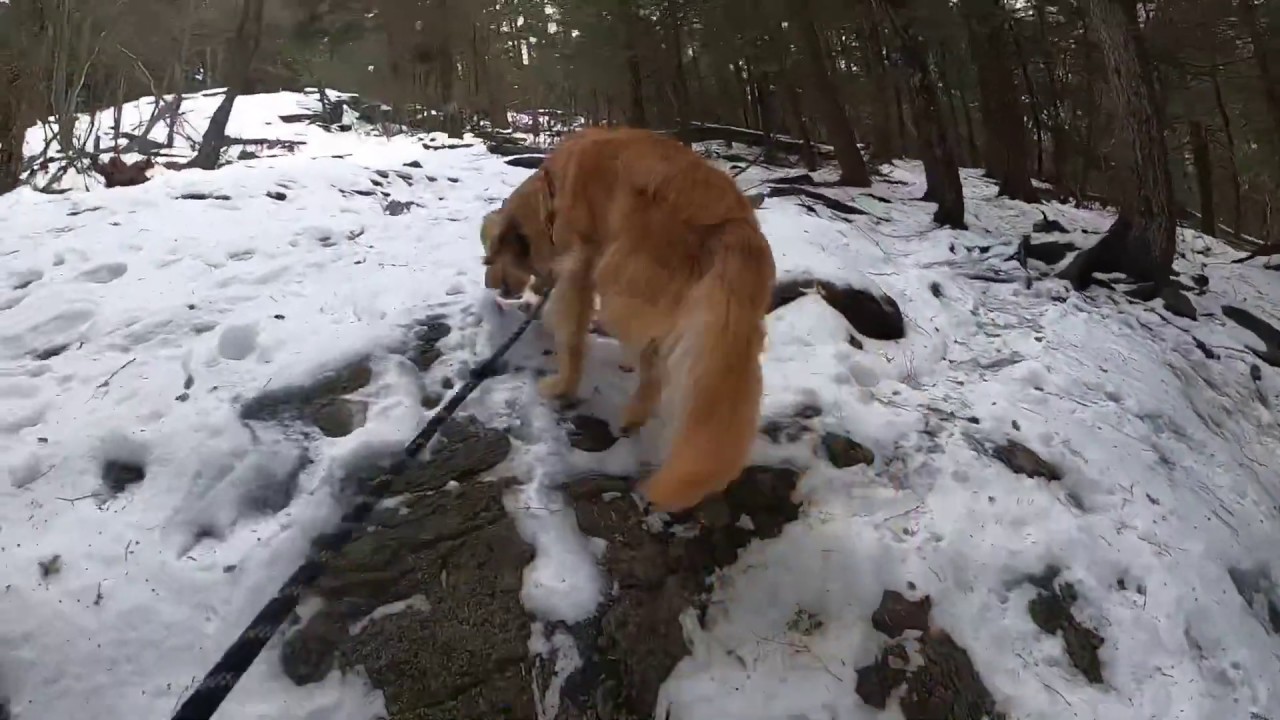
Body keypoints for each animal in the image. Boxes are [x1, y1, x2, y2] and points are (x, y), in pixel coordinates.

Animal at [481, 128, 773, 509]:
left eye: (488, 256)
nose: (489, 284)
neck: (548, 201)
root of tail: (736, 223)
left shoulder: (580, 267)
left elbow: (571, 337)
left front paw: (562, 386)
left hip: (616, 280)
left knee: (654, 367)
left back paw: (633, 414)